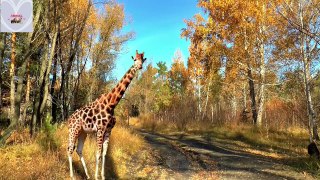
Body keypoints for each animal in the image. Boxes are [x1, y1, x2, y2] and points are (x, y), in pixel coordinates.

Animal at [68, 50, 148, 179]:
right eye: (134, 59)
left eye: (143, 60)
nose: (139, 66)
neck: (111, 104)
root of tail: (68, 119)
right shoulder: (100, 129)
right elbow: (98, 154)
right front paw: (97, 177)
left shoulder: (108, 130)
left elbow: (104, 153)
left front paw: (102, 176)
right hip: (73, 130)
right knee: (70, 148)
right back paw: (72, 176)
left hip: (83, 132)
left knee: (78, 150)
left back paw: (87, 175)